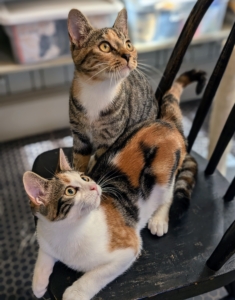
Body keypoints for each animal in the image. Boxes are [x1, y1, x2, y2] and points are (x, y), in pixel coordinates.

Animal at [67, 7, 202, 218]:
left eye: (128, 44)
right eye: (104, 46)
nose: (127, 56)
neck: (98, 90)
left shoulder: (110, 139)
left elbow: (97, 161)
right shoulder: (79, 136)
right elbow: (80, 161)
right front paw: (79, 177)